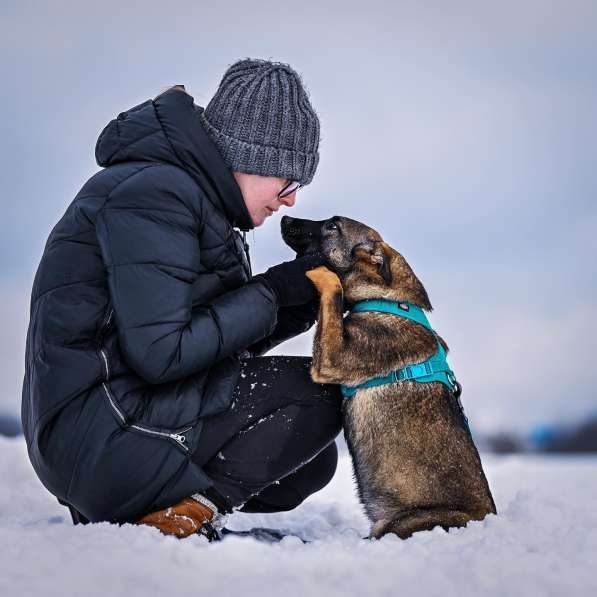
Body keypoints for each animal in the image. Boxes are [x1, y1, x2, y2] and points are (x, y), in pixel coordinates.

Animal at [282, 215, 496, 540]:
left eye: (333, 226)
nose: (284, 218)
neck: (385, 299)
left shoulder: (332, 359)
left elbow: (333, 290)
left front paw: (321, 272)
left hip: (405, 523)